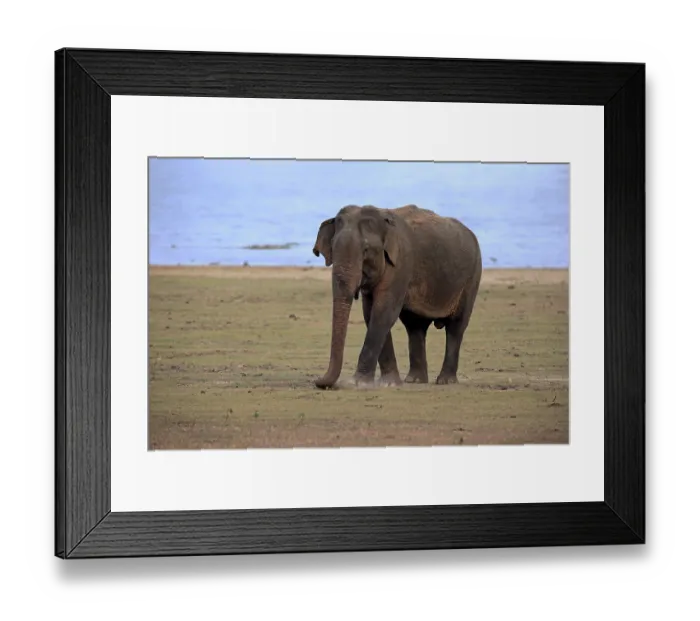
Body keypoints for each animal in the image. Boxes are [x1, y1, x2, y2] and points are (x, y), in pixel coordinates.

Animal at [312, 203, 482, 389]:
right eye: (333, 248)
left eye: (366, 250)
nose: (317, 380)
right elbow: (371, 313)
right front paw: (389, 383)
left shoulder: (401, 263)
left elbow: (383, 312)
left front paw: (358, 383)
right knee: (415, 327)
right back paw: (414, 380)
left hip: (471, 277)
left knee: (456, 326)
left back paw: (445, 381)